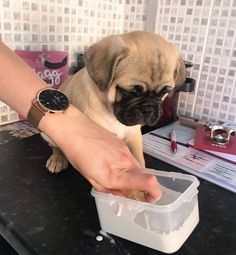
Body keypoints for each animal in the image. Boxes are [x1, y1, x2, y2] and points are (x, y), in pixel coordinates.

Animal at [42, 30, 186, 201]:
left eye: (163, 92)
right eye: (133, 90)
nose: (149, 109)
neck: (112, 113)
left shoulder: (133, 135)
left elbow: (139, 160)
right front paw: (135, 196)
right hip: (48, 134)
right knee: (56, 147)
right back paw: (58, 159)